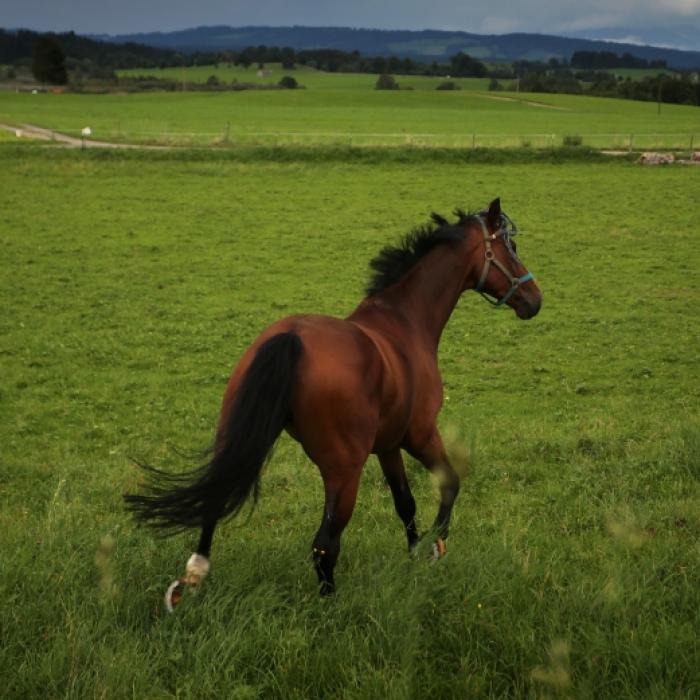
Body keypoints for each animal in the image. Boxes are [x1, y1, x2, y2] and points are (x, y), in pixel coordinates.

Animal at [124, 197, 542, 608]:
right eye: (511, 248)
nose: (535, 299)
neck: (404, 322)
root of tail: (289, 338)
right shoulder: (419, 434)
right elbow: (449, 484)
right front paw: (433, 548)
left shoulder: (388, 445)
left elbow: (405, 503)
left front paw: (414, 554)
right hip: (344, 470)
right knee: (325, 545)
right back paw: (330, 605)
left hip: (238, 439)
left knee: (216, 498)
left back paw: (191, 579)